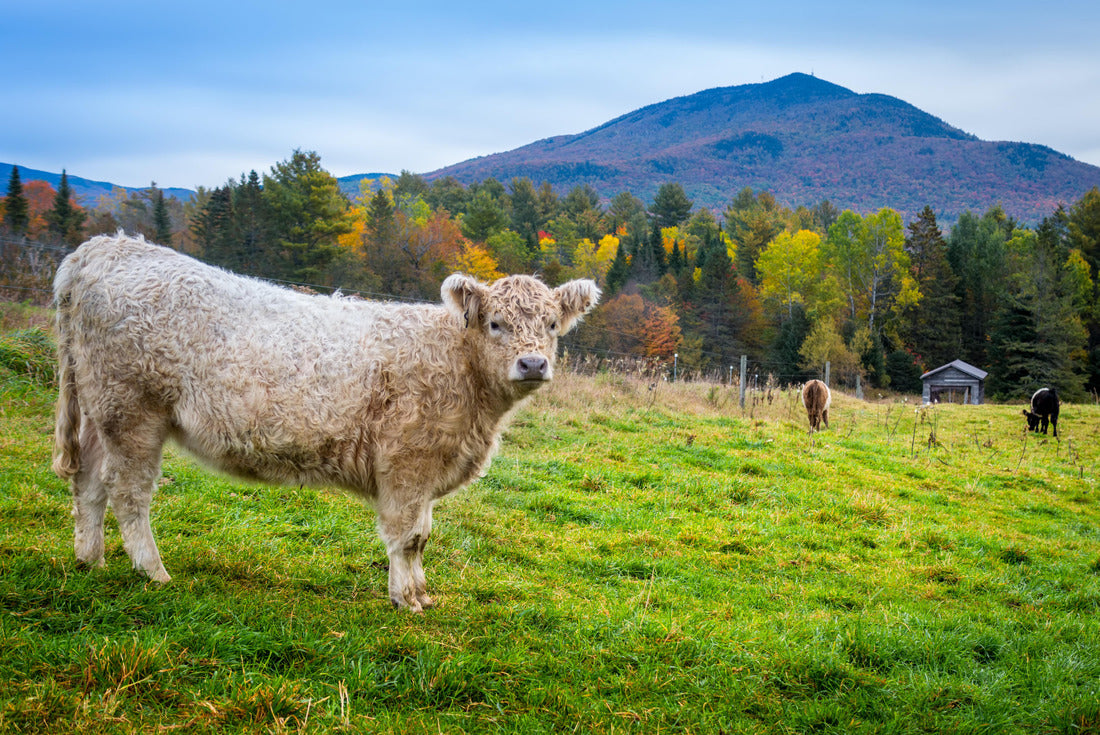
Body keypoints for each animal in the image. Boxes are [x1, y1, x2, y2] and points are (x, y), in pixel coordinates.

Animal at [52, 233, 600, 612]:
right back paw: (154, 571)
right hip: (132, 412)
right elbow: (407, 537)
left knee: (89, 483)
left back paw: (90, 559)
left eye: (552, 324)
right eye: (495, 323)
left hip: (101, 411)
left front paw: (423, 593)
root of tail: (108, 247)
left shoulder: (427, 471)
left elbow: (423, 535)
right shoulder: (406, 464)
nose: (533, 363)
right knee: (128, 493)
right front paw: (406, 601)